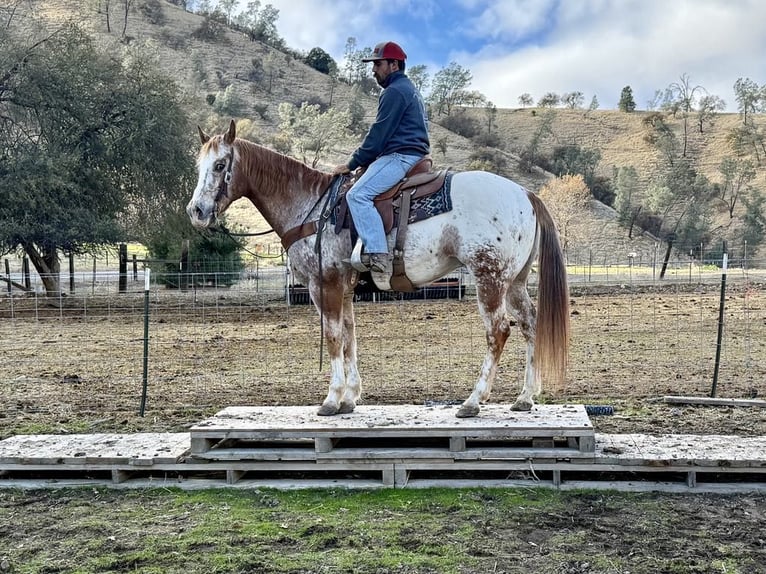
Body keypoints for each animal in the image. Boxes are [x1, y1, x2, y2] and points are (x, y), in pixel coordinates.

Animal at [186, 120, 570, 418]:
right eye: (199, 166)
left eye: (220, 165)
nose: (197, 211)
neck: (311, 207)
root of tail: (525, 194)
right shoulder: (344, 287)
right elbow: (349, 337)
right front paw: (350, 397)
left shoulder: (324, 284)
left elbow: (333, 337)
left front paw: (331, 399)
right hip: (515, 281)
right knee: (530, 325)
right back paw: (525, 398)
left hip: (488, 278)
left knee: (498, 331)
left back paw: (473, 401)